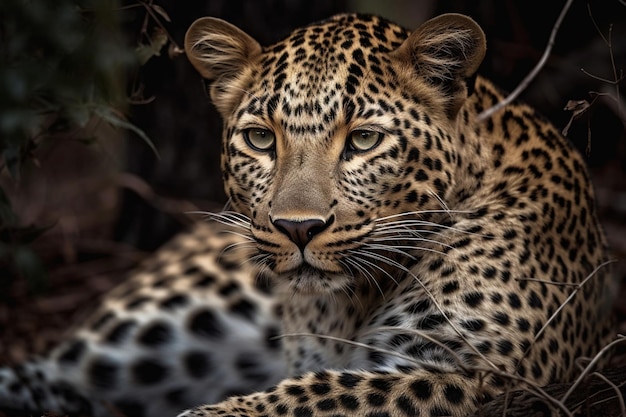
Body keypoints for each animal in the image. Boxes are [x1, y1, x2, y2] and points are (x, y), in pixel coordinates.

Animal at [0, 11, 616, 416]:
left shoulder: (474, 373)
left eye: (364, 140)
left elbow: (318, 393)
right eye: (260, 139)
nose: (298, 229)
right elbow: (311, 387)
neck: (348, 305)